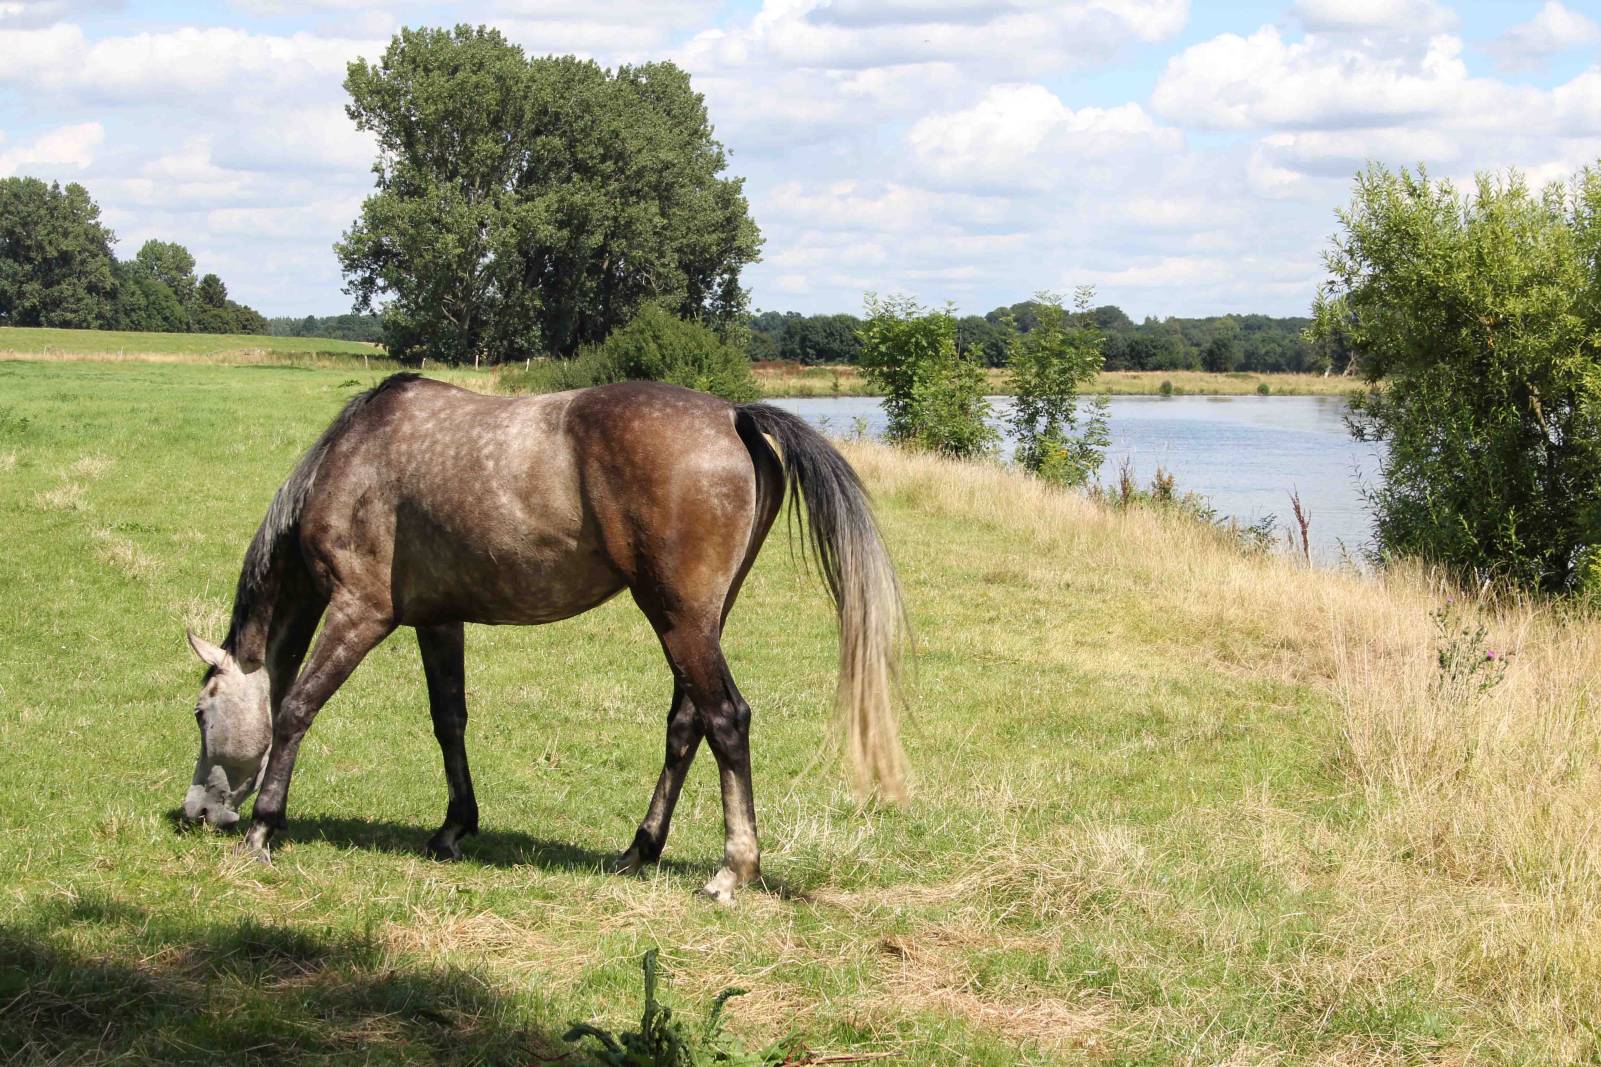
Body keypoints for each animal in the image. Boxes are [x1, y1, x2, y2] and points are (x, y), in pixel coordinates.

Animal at [180, 373, 906, 903]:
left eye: (201, 711)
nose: (195, 813)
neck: (356, 456)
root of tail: (734, 416)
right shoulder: (438, 621)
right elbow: (449, 720)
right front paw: (454, 827)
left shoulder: (360, 612)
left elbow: (297, 708)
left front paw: (265, 827)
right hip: (697, 621)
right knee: (687, 723)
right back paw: (638, 850)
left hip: (679, 620)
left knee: (726, 719)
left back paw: (733, 869)